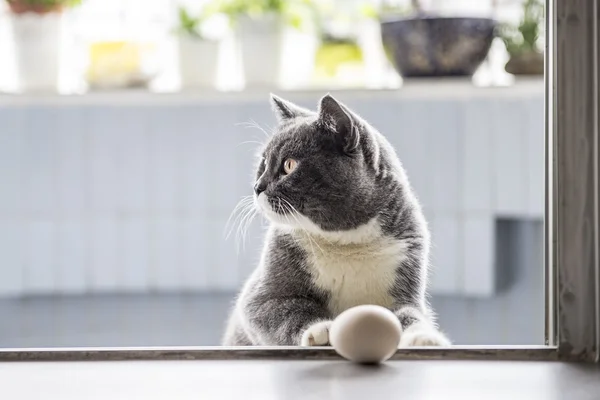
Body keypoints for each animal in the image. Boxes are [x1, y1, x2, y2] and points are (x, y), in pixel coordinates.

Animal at [224, 94, 450, 346]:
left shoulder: (407, 273)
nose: (257, 187)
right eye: (263, 163)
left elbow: (410, 314)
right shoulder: (260, 296)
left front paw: (423, 336)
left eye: (289, 165)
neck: (346, 241)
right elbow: (286, 311)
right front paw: (319, 330)